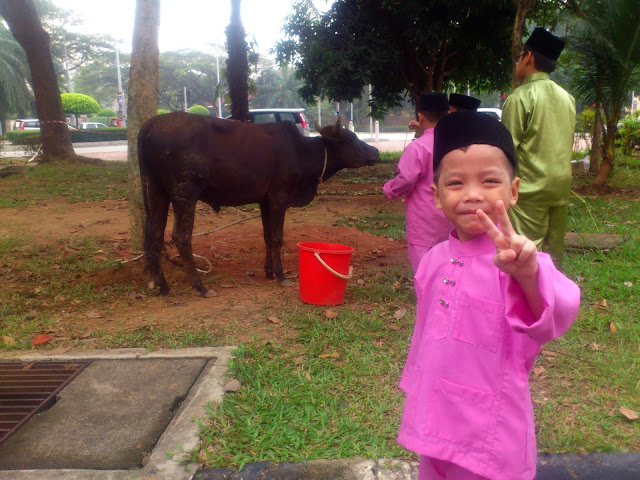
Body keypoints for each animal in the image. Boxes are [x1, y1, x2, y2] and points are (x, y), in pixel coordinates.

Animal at [135, 112, 376, 296]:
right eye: (352, 139)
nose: (375, 151)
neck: (301, 152)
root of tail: (151, 123)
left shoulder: (264, 200)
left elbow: (267, 236)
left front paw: (268, 271)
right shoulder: (279, 197)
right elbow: (277, 237)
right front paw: (280, 275)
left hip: (157, 191)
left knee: (155, 236)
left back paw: (163, 286)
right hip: (185, 192)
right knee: (181, 237)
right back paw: (200, 286)